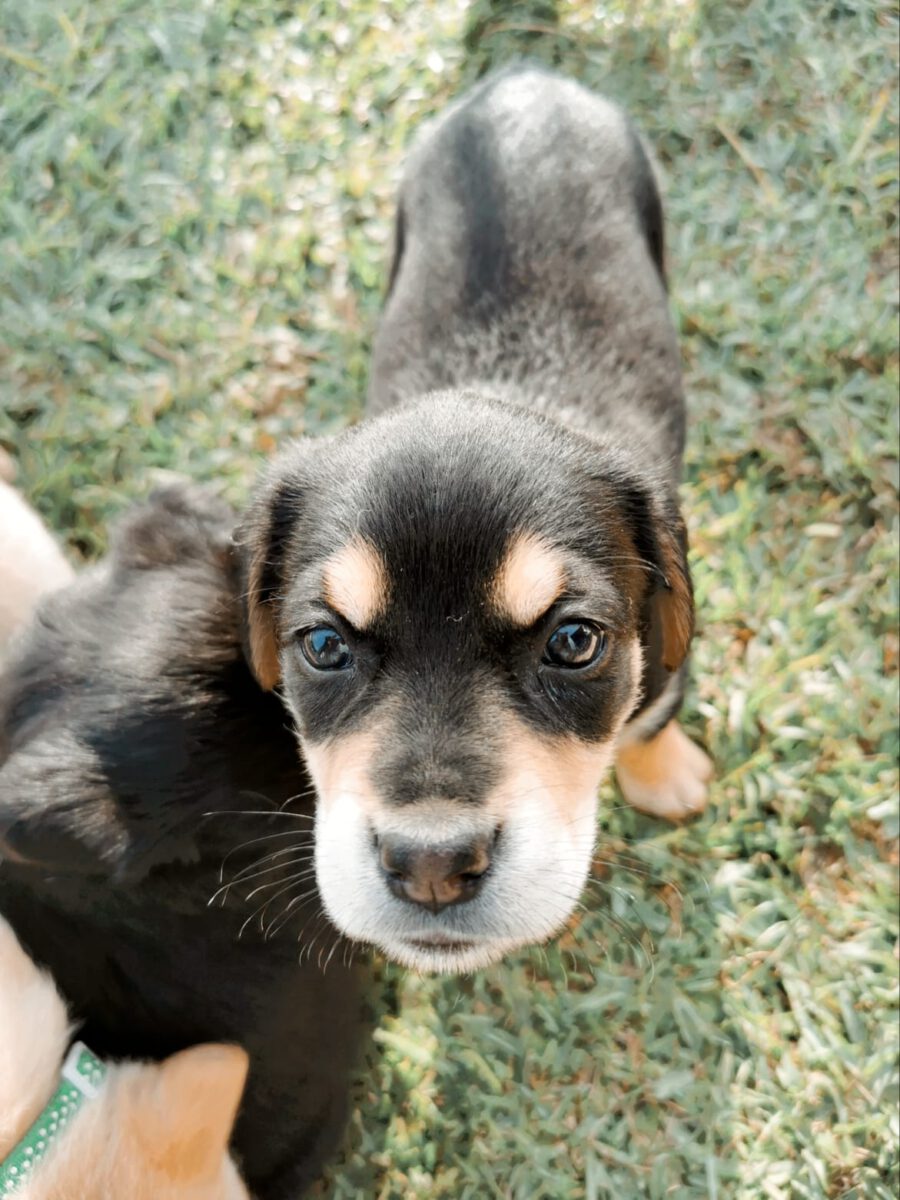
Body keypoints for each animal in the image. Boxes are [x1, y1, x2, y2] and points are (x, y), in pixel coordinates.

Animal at [238, 67, 712, 977]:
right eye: (324, 646)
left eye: (575, 641)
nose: (431, 863)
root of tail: (529, 77)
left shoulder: (663, 652)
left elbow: (653, 712)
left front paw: (666, 775)